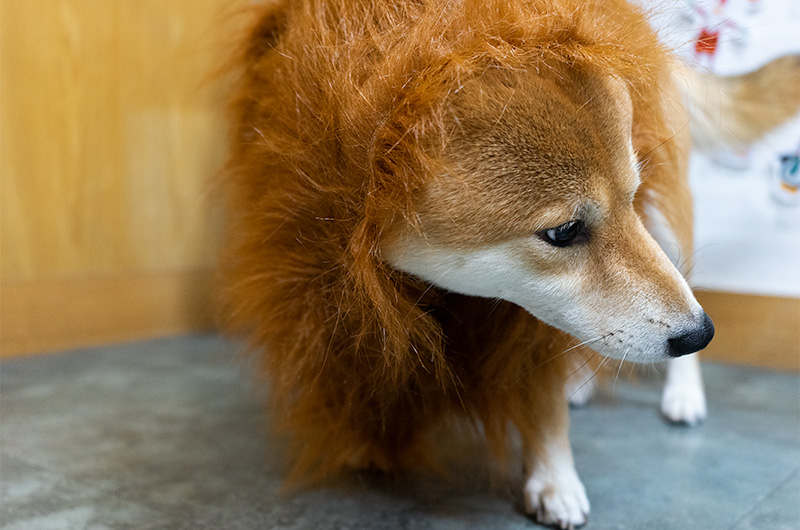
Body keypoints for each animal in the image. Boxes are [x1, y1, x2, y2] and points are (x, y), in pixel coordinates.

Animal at [219, 0, 800, 524]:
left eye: (630, 197)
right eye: (564, 231)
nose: (700, 333)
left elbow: (542, 408)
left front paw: (553, 478)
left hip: (668, 227)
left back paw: (682, 394)